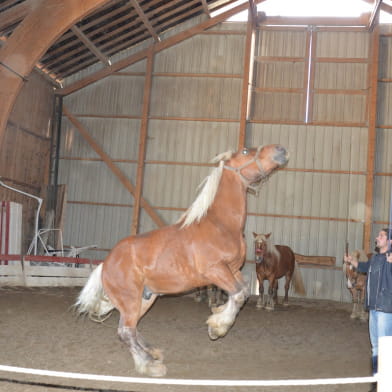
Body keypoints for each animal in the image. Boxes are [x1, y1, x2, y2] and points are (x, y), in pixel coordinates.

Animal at [75, 144, 288, 376]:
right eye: (246, 152)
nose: (280, 150)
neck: (220, 224)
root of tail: (106, 263)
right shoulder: (215, 270)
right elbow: (238, 295)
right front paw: (217, 327)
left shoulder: (232, 270)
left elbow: (243, 292)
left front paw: (216, 317)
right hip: (130, 300)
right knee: (125, 331)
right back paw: (148, 365)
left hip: (145, 298)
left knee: (131, 329)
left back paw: (152, 353)